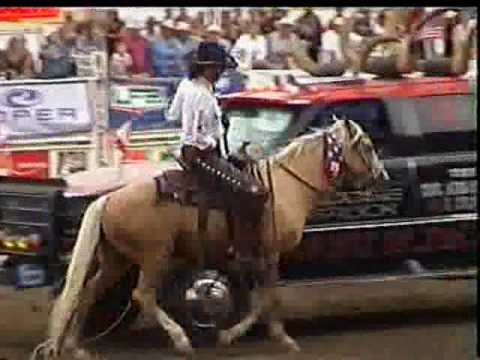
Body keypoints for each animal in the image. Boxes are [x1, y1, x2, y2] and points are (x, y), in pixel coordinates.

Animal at [44, 118, 390, 358]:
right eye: (367, 146)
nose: (382, 177)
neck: (285, 186)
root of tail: (108, 199)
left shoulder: (249, 260)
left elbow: (258, 298)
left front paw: (232, 334)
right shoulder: (268, 254)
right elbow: (268, 298)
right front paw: (279, 338)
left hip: (117, 259)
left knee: (87, 293)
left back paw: (76, 347)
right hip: (155, 256)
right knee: (143, 295)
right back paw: (181, 340)